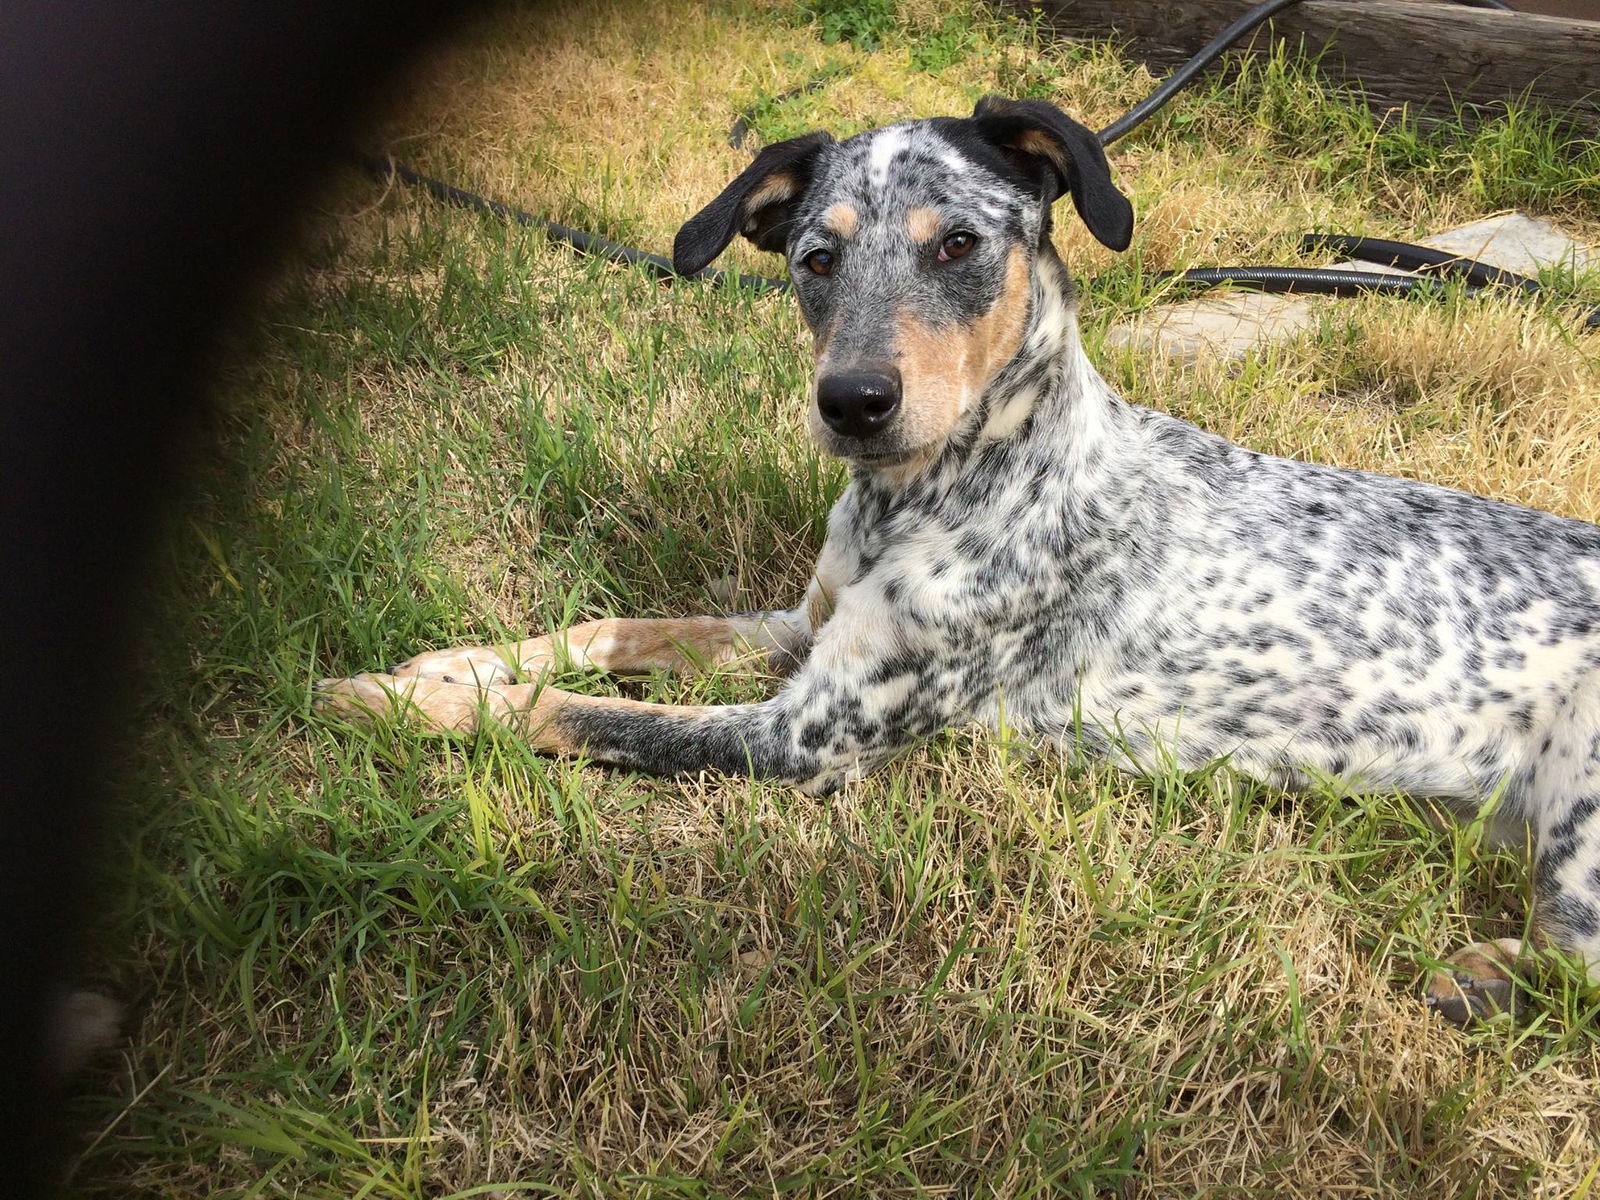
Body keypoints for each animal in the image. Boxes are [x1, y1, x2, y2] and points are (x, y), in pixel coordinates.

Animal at [321, 96, 1600, 1024]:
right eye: (814, 259)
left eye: (960, 243)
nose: (851, 403)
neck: (929, 497)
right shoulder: (800, 629)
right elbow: (608, 632)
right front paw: (452, 659)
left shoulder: (804, 738)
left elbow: (577, 712)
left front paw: (398, 700)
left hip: (1579, 807)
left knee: (1577, 963)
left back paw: (1480, 978)